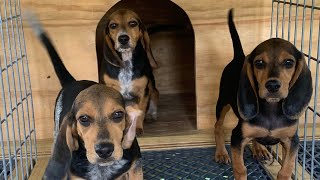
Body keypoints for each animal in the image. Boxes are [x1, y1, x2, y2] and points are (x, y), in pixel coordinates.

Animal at [214, 9, 312, 180]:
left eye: (289, 62)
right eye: (259, 63)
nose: (272, 85)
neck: (271, 108)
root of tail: (239, 56)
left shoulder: (292, 140)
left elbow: (286, 170)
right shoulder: (237, 137)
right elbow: (240, 169)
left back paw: (259, 148)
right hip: (223, 102)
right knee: (218, 126)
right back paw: (221, 153)